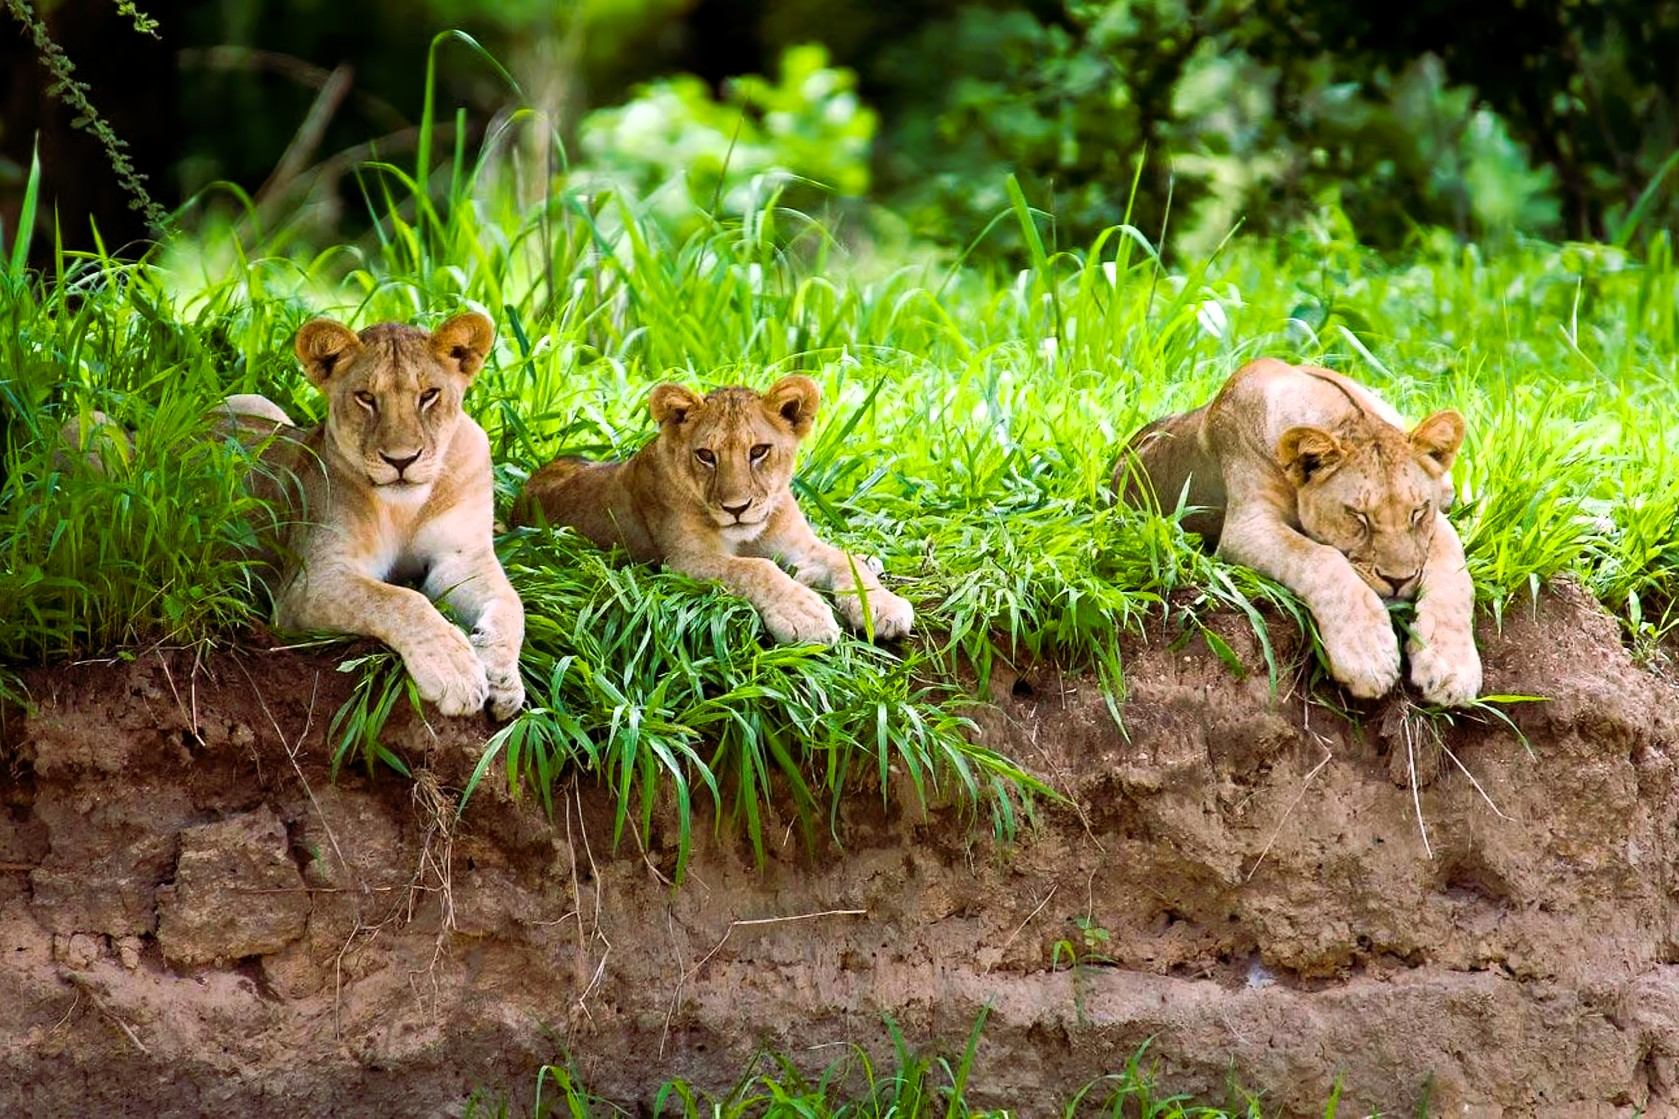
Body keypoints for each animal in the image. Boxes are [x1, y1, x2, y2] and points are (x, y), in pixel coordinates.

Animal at [218, 311, 526, 720]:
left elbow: (511, 605)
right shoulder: (308, 583)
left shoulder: (462, 559)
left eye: (428, 395)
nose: (401, 459)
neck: (406, 508)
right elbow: (399, 599)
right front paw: (455, 670)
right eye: (366, 398)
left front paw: (503, 679)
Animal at [512, 375, 914, 646]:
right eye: (706, 455)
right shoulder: (685, 562)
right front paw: (806, 614)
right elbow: (757, 568)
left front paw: (883, 606)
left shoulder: (799, 543)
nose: (737, 508)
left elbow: (842, 559)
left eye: (759, 451)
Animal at [1114, 357, 1481, 707]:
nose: (1399, 581)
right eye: (1358, 517)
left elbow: (1454, 573)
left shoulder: (1437, 523)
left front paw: (1452, 670)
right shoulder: (1247, 526)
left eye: (1417, 512)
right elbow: (1321, 559)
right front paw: (1368, 656)